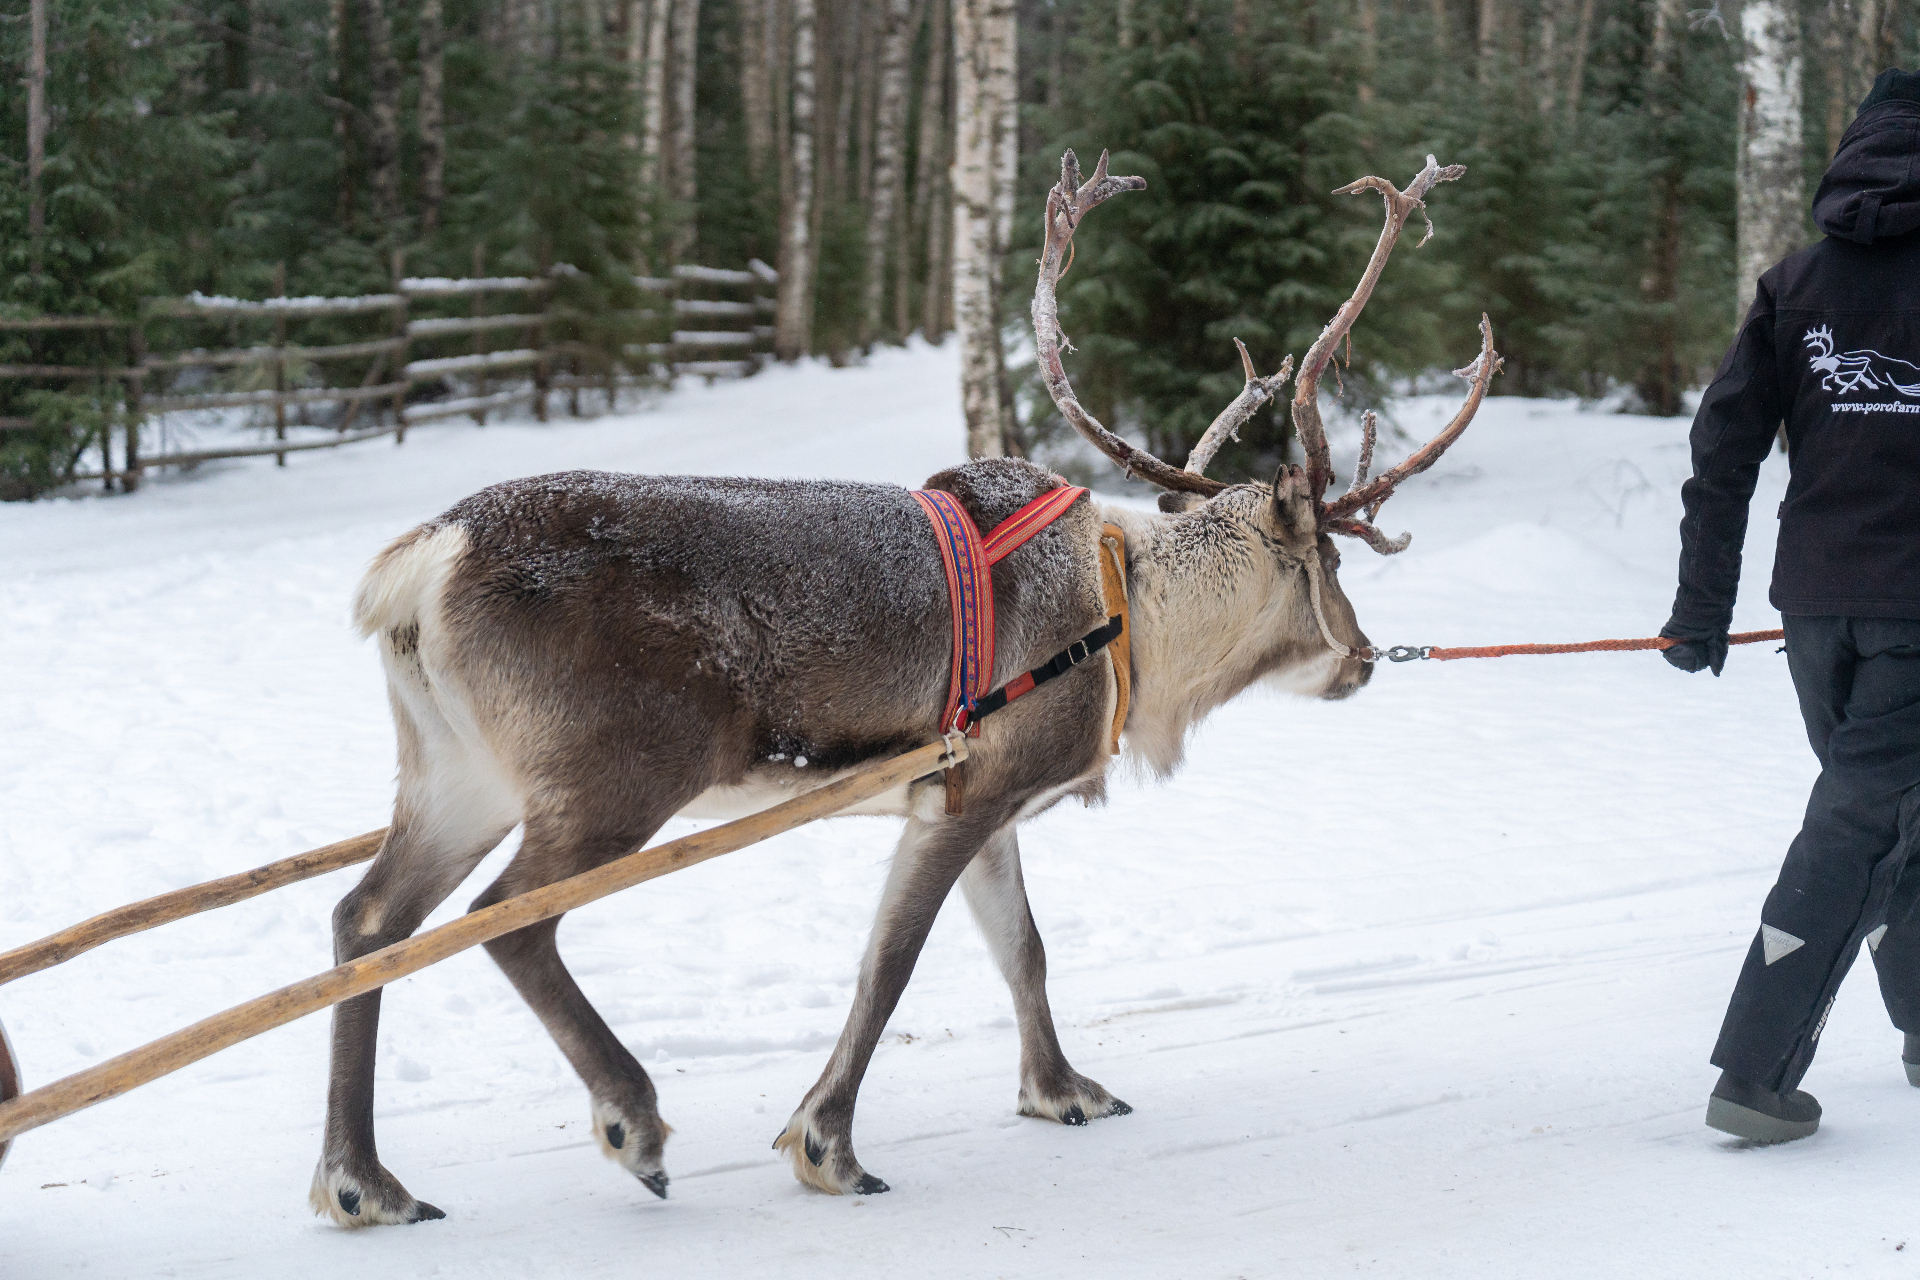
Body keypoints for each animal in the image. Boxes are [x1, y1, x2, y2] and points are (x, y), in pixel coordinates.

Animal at [309, 149, 1500, 1226]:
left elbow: (1024, 950)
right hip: (615, 778)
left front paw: (1062, 1091)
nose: (1364, 653)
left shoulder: (983, 798)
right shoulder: (965, 797)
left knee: (365, 918)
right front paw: (828, 1146)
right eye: (1331, 562)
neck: (1132, 622)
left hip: (456, 776)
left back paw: (364, 1182)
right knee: (504, 921)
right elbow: (890, 965)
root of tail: (423, 560)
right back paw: (630, 1123)